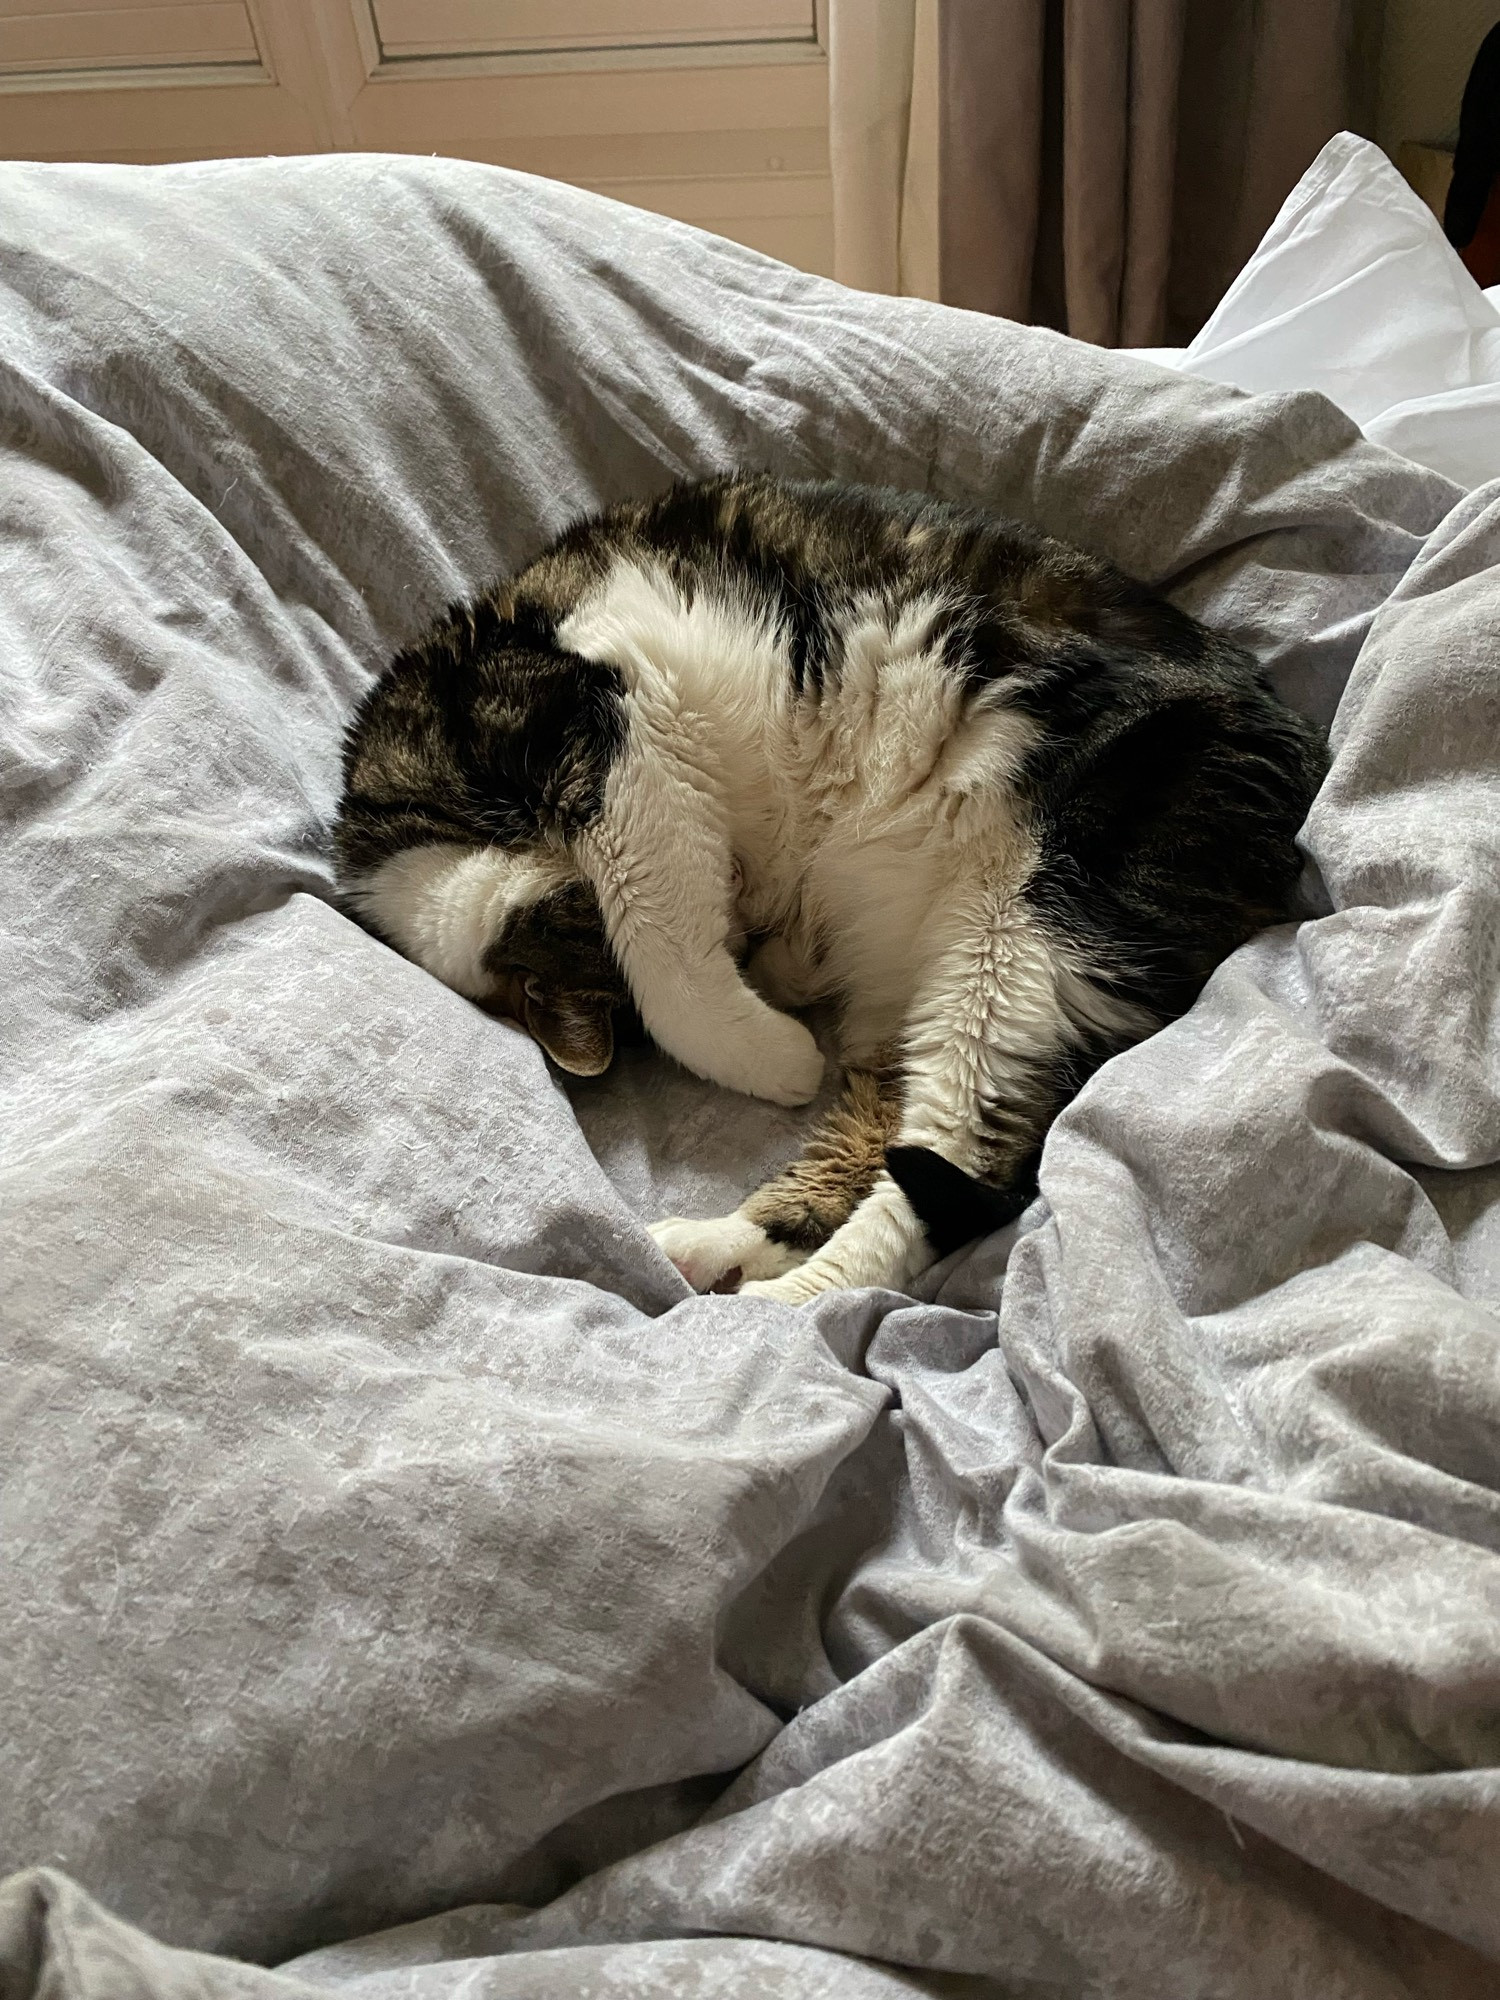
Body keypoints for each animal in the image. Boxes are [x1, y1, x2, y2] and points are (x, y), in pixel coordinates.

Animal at [332, 476, 1328, 1304]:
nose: (749, 917)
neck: (420, 823)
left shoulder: (600, 735)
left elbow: (661, 940)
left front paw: (770, 1053)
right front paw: (781, 982)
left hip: (1037, 932)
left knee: (953, 1177)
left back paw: (776, 1312)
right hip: (944, 993)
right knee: (881, 1149)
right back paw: (712, 1247)